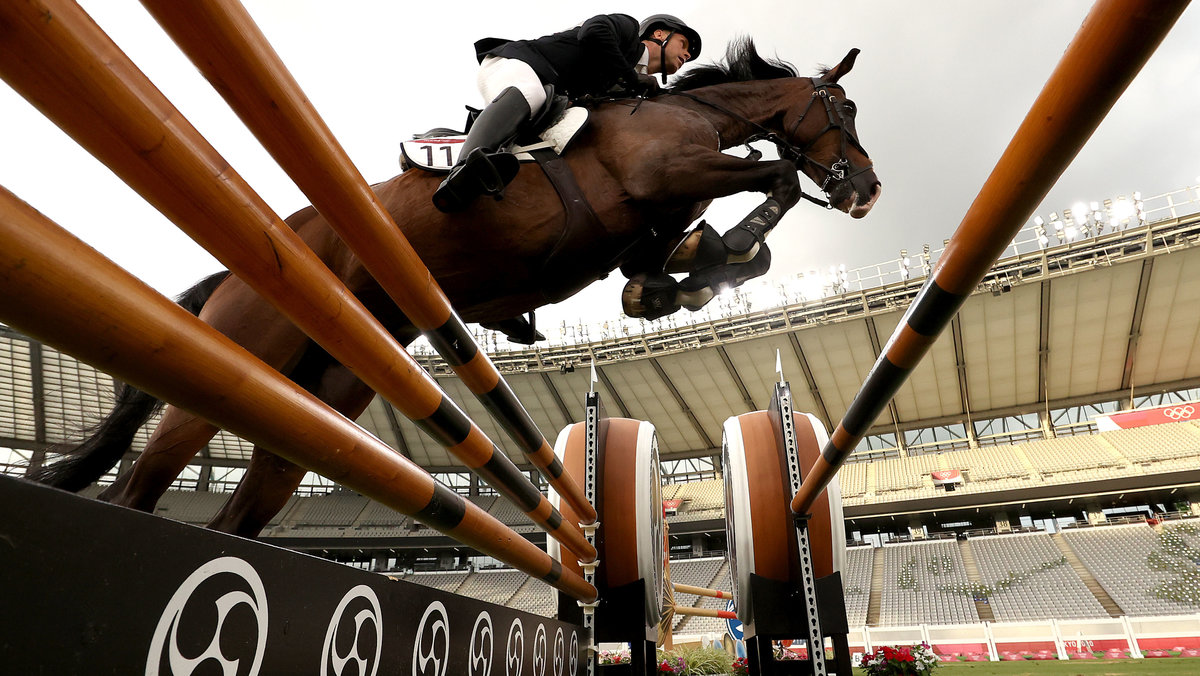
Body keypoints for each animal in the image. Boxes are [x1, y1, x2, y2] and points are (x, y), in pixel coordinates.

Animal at [25, 41, 873, 540]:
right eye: (845, 107)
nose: (866, 189)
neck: (680, 108)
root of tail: (243, 266)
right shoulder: (668, 174)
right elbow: (777, 175)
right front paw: (708, 265)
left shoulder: (652, 226)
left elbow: (718, 247)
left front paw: (677, 288)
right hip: (235, 365)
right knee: (140, 488)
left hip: (323, 396)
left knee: (242, 511)